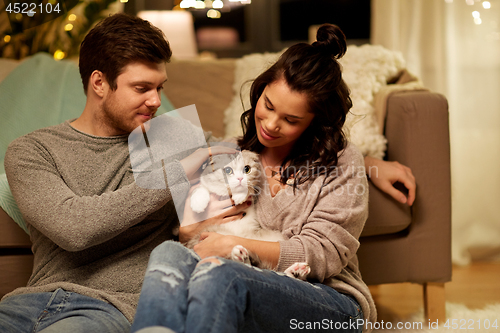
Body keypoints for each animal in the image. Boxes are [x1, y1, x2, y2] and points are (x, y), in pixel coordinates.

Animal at [185, 149, 308, 278]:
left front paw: (239, 196)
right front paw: (198, 202)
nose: (240, 178)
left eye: (247, 169)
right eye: (228, 170)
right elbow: (201, 188)